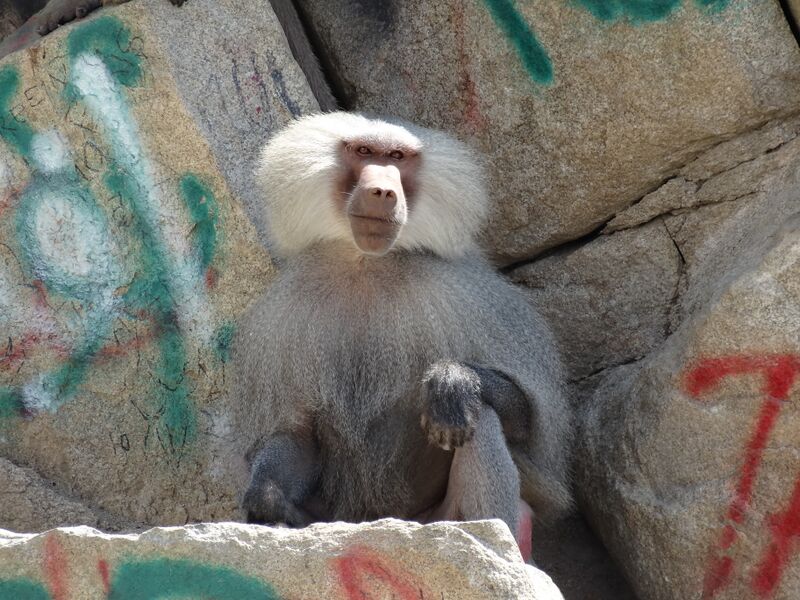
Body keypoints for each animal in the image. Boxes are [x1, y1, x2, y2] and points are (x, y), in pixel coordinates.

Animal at [234, 112, 573, 560]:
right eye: (363, 151)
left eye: (397, 157)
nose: (382, 191)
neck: (367, 265)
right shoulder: (283, 316)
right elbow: (296, 434)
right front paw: (267, 502)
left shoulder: (467, 294)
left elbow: (526, 420)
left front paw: (453, 380)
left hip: (437, 520)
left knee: (477, 417)